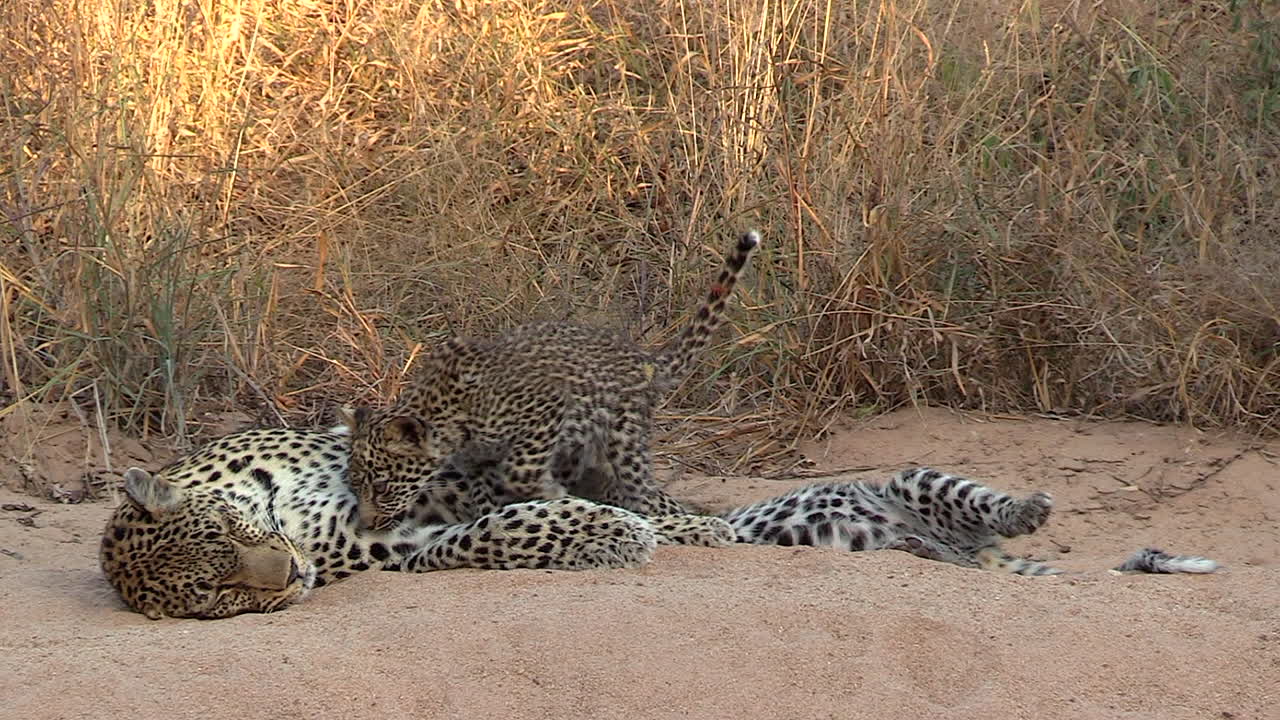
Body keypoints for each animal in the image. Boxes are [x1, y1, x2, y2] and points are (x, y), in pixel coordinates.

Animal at [99, 427, 730, 620]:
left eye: (230, 528)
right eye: (217, 595)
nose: (291, 575)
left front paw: (688, 525)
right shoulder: (386, 543)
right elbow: (491, 531)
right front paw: (610, 534)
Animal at [344, 229, 762, 531]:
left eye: (381, 487)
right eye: (356, 485)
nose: (367, 526)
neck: (446, 414)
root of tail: (644, 359)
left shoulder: (545, 406)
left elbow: (520, 470)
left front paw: (546, 491)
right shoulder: (477, 466)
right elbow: (485, 495)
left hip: (623, 437)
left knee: (644, 492)